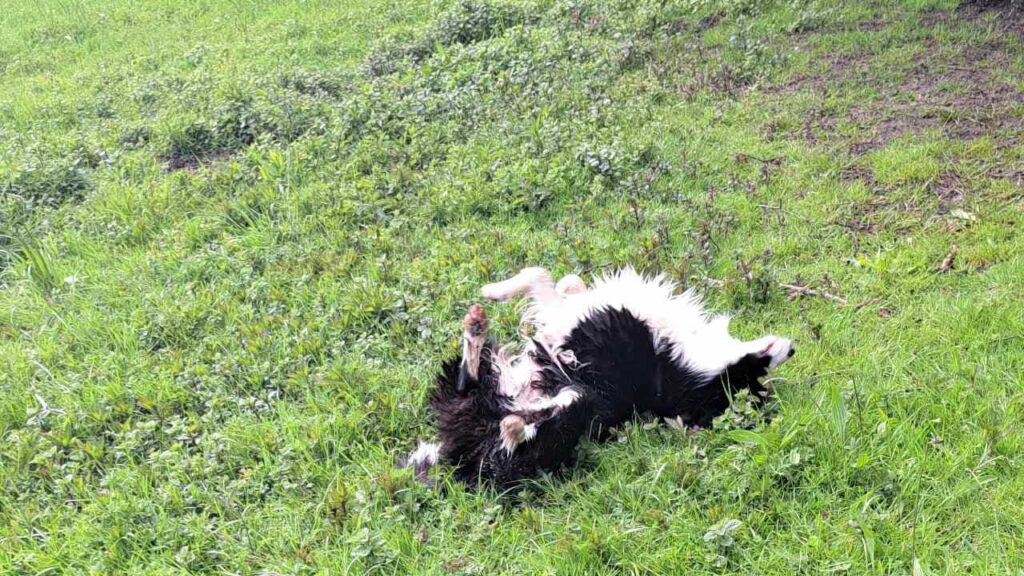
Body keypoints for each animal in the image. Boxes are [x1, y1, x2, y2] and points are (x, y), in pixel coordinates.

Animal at [403, 266, 794, 485]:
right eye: (756, 371)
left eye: (745, 381)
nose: (792, 351)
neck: (671, 359)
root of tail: (458, 457)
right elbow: (550, 277)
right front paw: (496, 291)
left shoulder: (579, 328)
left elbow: (552, 282)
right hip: (486, 377)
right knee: (466, 378)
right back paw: (477, 326)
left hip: (571, 407)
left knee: (517, 441)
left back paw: (518, 423)